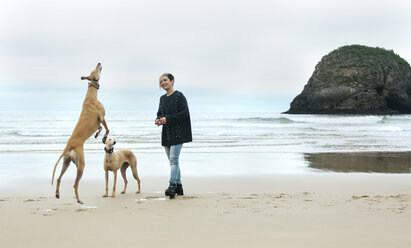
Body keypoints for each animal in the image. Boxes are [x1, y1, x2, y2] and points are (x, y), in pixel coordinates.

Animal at [51, 63, 109, 204]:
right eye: (96, 70)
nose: (99, 62)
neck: (91, 95)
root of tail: (69, 146)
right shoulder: (102, 117)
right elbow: (107, 128)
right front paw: (105, 136)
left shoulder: (98, 122)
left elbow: (100, 127)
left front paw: (98, 135)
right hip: (81, 165)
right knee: (75, 184)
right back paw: (78, 200)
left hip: (66, 162)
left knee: (59, 178)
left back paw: (57, 194)